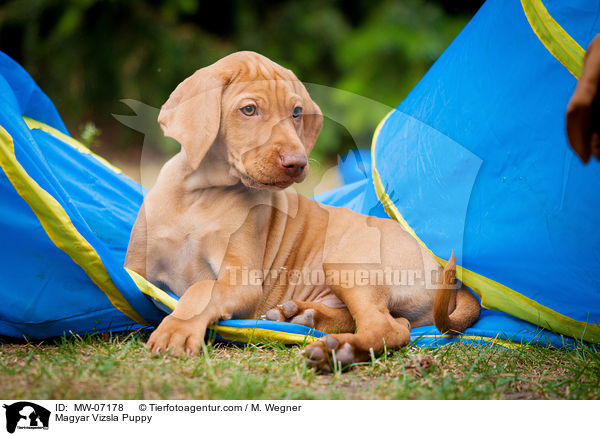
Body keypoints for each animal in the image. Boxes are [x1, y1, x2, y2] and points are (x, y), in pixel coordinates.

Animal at [124, 51, 480, 372]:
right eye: (249, 110)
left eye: (296, 112)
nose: (297, 163)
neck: (202, 194)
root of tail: (442, 270)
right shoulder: (137, 267)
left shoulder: (241, 280)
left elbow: (200, 290)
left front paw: (177, 328)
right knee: (382, 321)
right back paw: (298, 316)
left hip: (347, 260)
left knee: (390, 329)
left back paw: (336, 352)